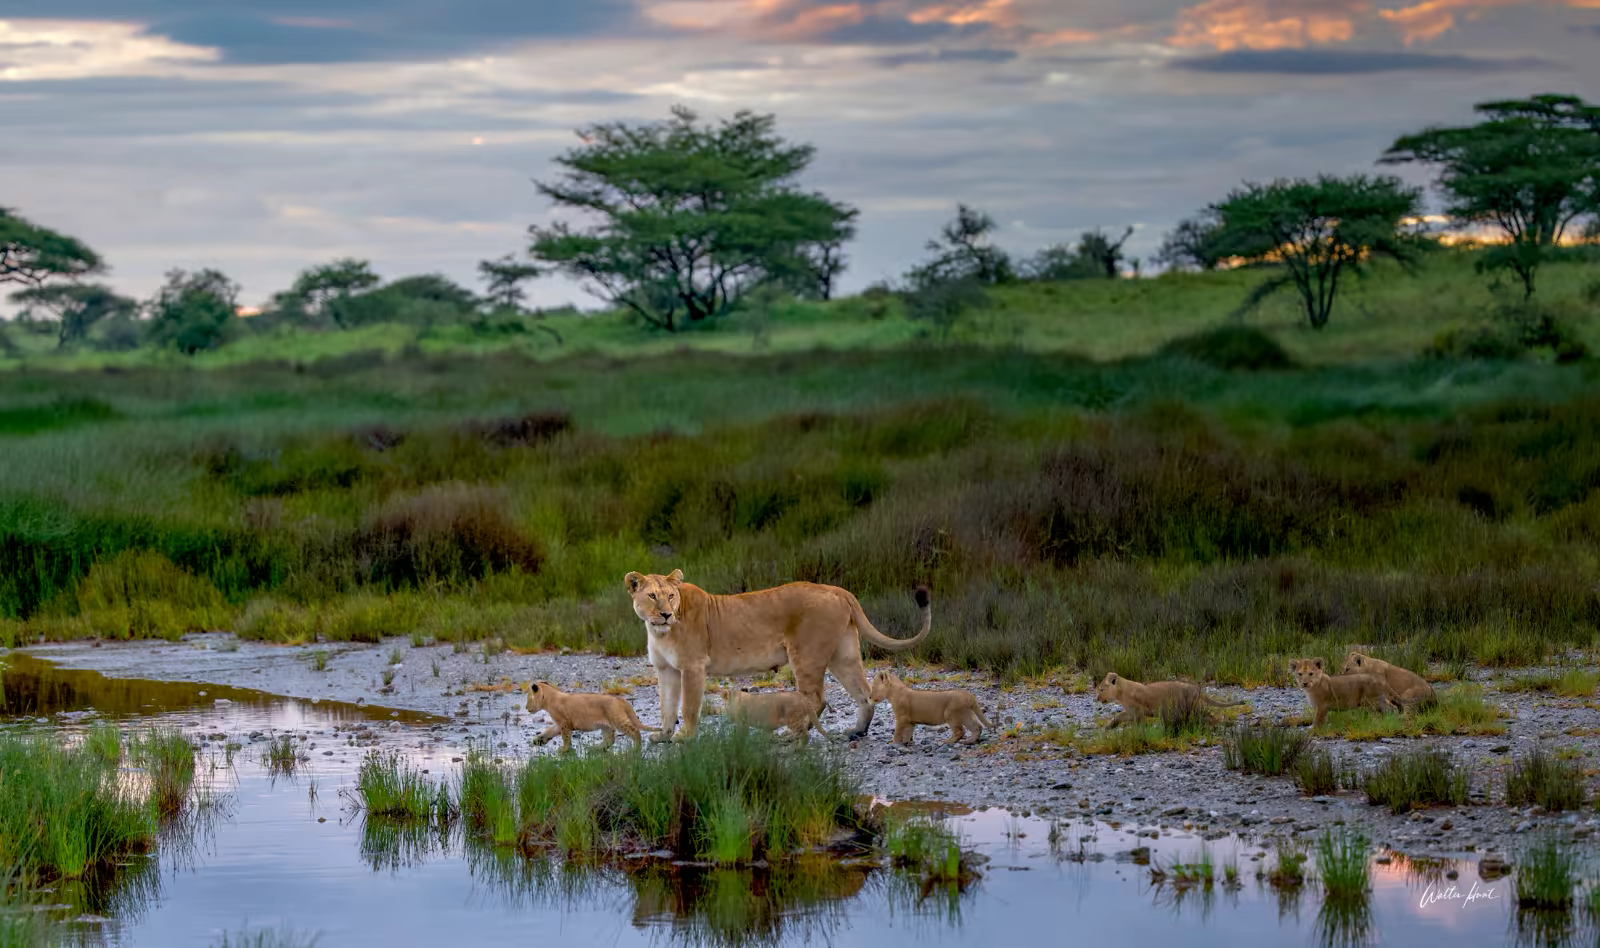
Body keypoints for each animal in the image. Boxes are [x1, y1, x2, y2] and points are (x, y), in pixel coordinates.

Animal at [626, 570, 931, 742]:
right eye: (652, 596)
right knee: (864, 694)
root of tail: (835, 589)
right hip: (842, 654)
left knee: (816, 699)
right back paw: (856, 731)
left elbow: (688, 707)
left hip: (806, 655)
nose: (666, 614)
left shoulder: (693, 667)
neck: (660, 631)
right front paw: (662, 736)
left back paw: (791, 734)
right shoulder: (666, 670)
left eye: (671, 596)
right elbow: (666, 707)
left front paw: (685, 738)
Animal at [1092, 672, 1244, 727]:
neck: (1120, 692)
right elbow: (1117, 716)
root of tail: (1197, 689)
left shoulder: (1138, 711)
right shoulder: (1130, 712)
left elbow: (1139, 725)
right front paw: (1108, 727)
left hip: (1194, 708)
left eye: (1101, 689)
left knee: (1211, 717)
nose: (1097, 698)